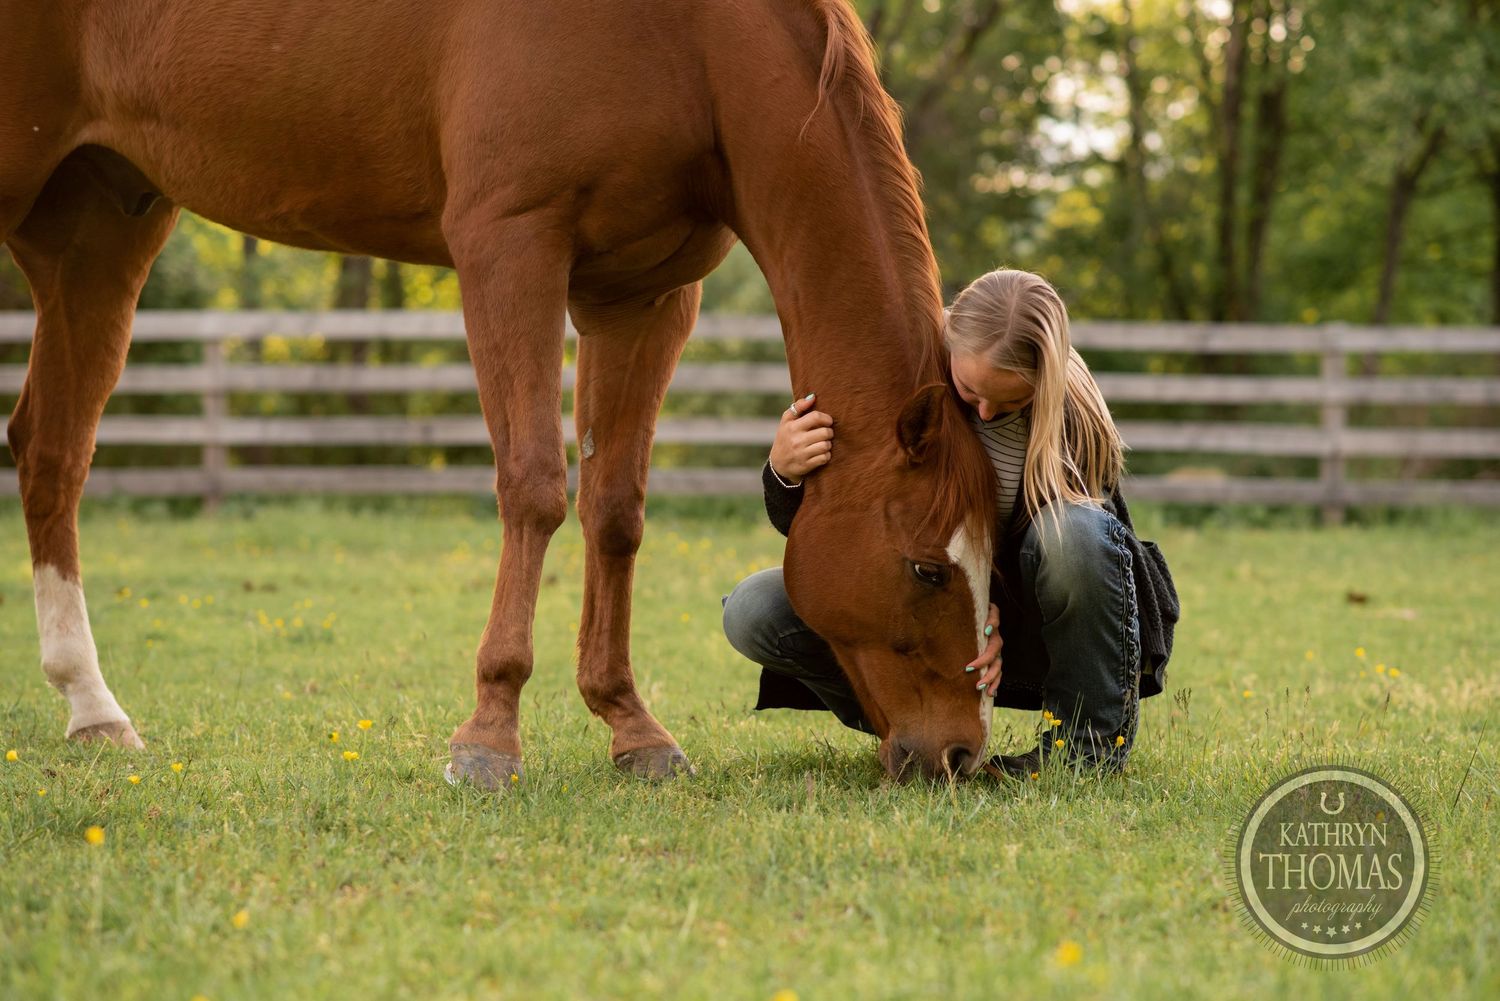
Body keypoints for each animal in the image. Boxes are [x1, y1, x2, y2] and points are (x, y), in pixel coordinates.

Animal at [2, 0, 998, 786]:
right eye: (925, 567)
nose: (958, 752)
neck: (681, 38)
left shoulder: (641, 297)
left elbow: (615, 508)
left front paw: (632, 727)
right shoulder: (510, 250)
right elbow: (533, 487)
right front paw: (489, 734)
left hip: (102, 230)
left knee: (53, 451)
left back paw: (93, 710)